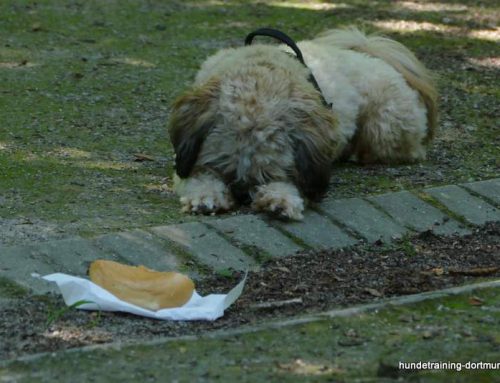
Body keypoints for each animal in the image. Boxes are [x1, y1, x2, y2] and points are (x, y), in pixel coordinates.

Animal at [167, 27, 434, 220]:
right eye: (222, 167)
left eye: (268, 174)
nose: (241, 192)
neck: (262, 71)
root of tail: (366, 53)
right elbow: (197, 177)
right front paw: (206, 196)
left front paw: (279, 199)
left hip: (386, 125)